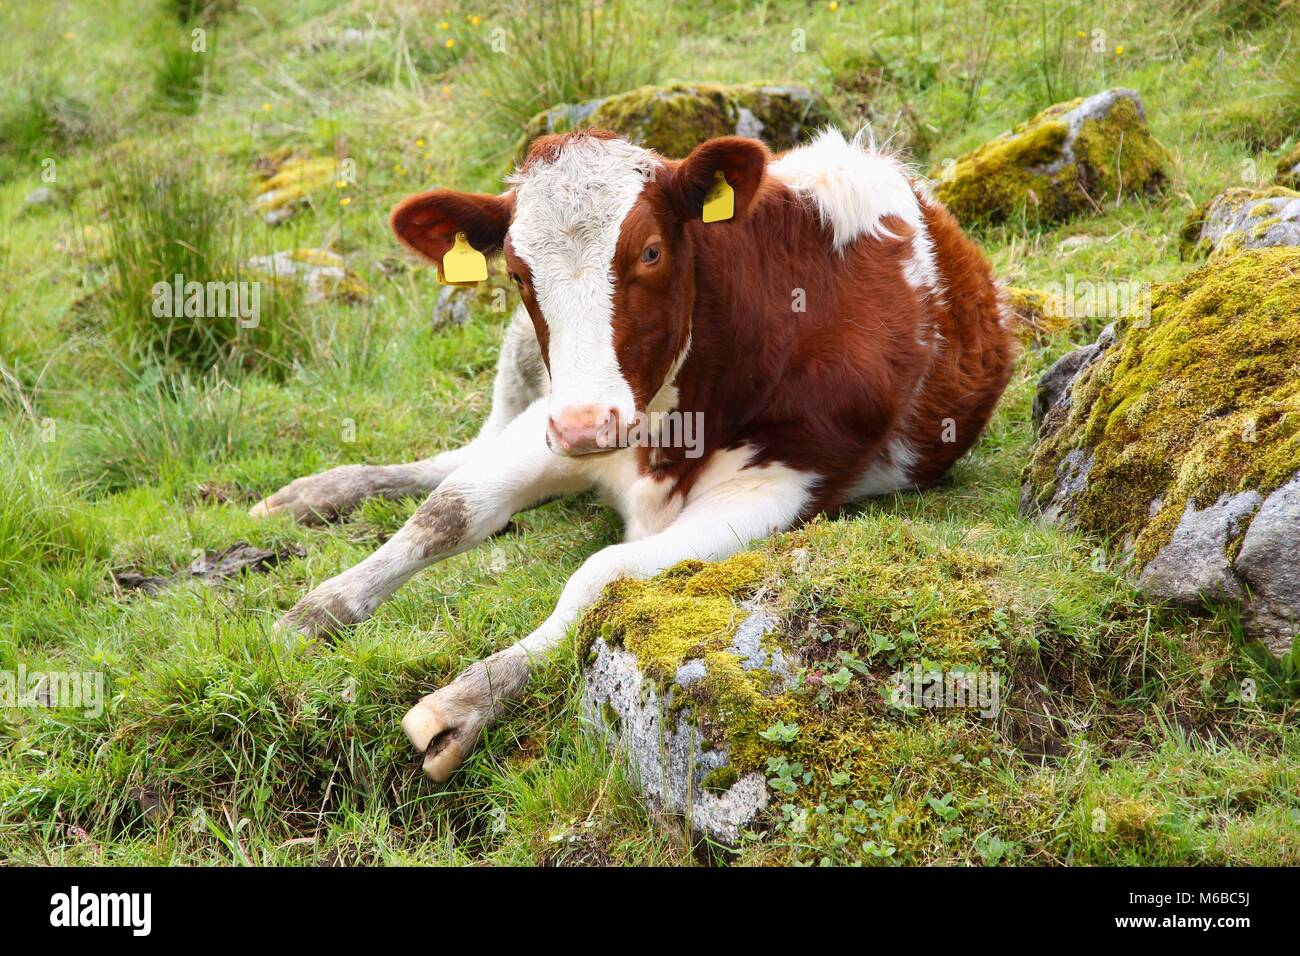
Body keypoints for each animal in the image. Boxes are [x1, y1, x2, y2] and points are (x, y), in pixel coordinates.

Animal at [253, 128, 1013, 785]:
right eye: (519, 272)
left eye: (649, 252)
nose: (588, 424)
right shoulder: (556, 422)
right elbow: (448, 513)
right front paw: (311, 614)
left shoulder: (786, 481)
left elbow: (603, 574)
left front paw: (471, 699)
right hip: (526, 376)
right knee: (463, 453)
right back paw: (315, 493)